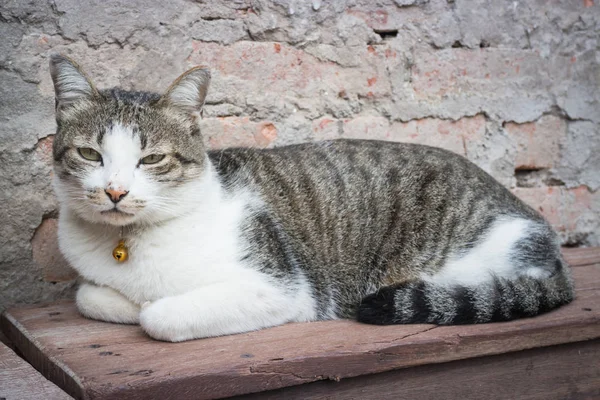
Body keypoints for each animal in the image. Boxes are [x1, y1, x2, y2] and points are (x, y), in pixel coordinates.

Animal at [49, 52, 576, 340]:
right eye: (90, 154)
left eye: (152, 159)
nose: (115, 191)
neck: (130, 244)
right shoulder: (94, 282)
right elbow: (90, 296)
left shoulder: (284, 290)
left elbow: (158, 316)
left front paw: (151, 306)